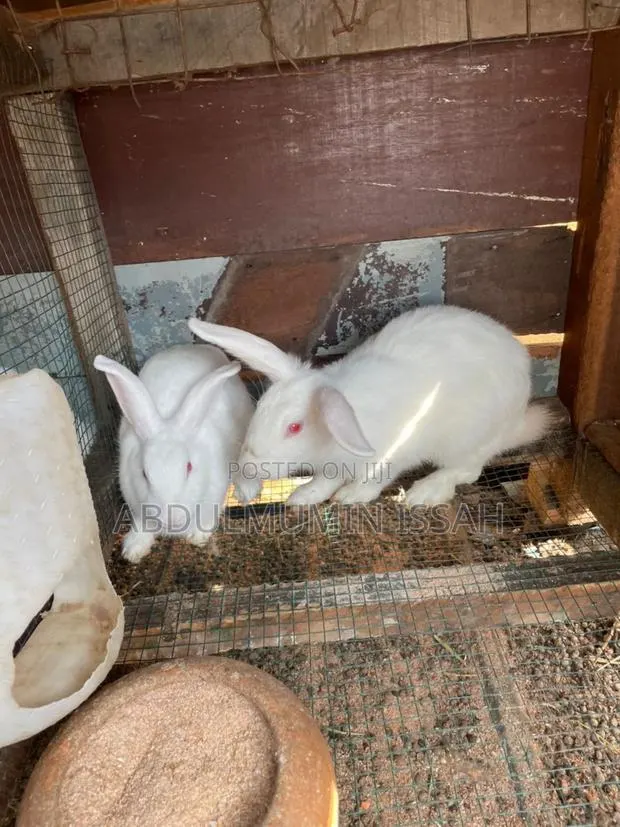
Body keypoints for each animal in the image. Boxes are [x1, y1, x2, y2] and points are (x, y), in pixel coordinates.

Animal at [94, 343, 254, 563]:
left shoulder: (215, 492)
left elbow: (207, 515)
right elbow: (142, 524)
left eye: (189, 467)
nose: (171, 520)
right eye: (144, 473)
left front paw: (198, 537)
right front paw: (133, 550)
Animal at [187, 305, 550, 509]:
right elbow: (324, 480)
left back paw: (425, 492)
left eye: (294, 427)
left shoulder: (392, 455)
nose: (247, 465)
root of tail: (514, 422)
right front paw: (304, 497)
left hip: (467, 438)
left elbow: (372, 480)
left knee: (467, 470)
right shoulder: (332, 465)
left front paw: (351, 496)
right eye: (260, 407)